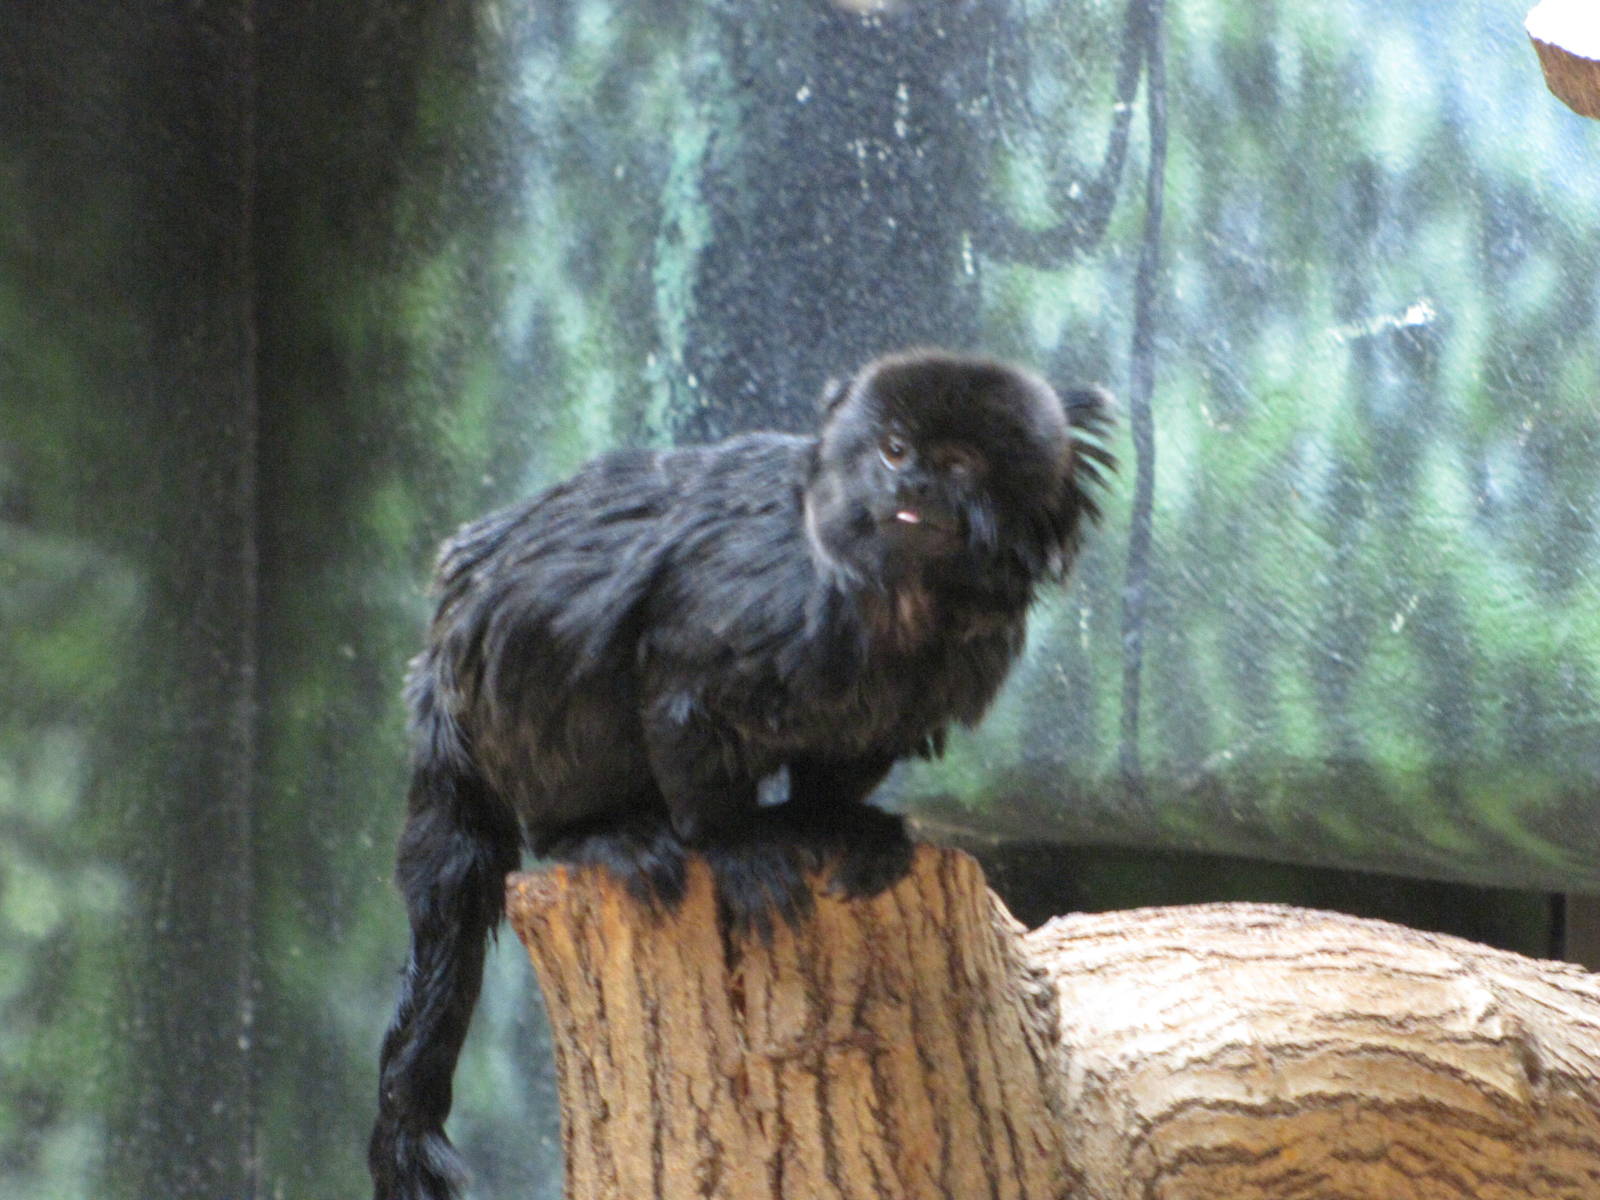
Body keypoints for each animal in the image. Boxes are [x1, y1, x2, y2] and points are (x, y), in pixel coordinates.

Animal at [368, 349, 1113, 1200]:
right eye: (894, 452)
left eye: (957, 464)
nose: (914, 488)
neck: (895, 599)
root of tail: (441, 667)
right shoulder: (741, 604)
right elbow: (677, 694)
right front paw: (736, 845)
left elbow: (847, 756)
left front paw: (834, 824)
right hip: (507, 694)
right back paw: (601, 831)